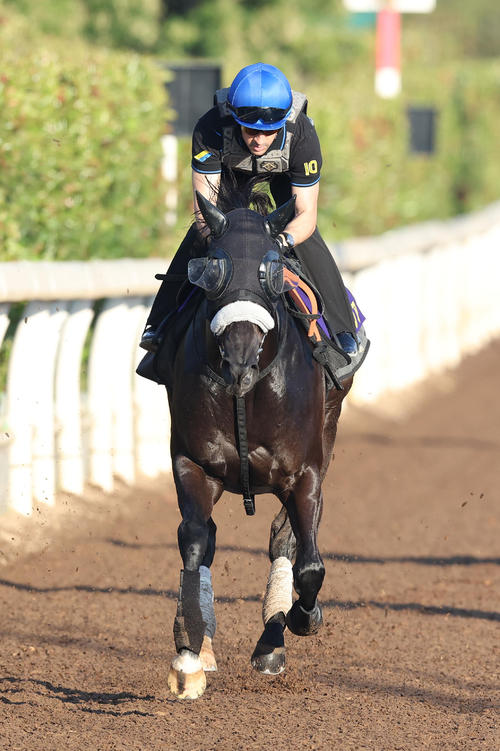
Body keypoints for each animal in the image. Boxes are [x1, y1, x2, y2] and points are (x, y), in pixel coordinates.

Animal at [153, 187, 354, 699]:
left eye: (271, 269)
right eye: (212, 269)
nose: (240, 359)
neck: (247, 392)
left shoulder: (304, 473)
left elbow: (307, 561)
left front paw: (301, 618)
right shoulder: (192, 463)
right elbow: (194, 542)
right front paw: (188, 655)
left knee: (286, 537)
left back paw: (273, 639)